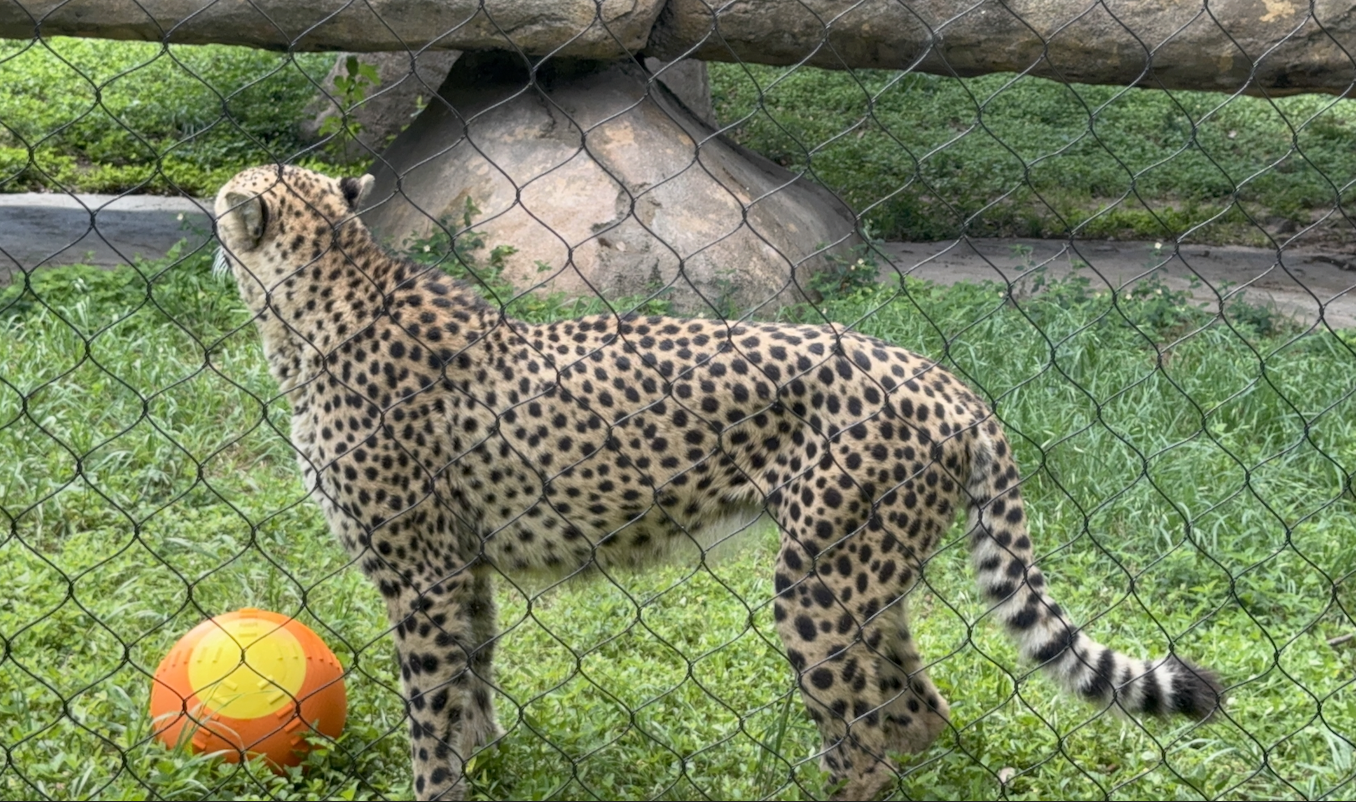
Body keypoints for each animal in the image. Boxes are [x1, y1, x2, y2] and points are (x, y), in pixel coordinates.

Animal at [212, 164, 1222, 801]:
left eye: (228, 203)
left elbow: (430, 709)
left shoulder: (419, 577)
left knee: (864, 746)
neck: (330, 293)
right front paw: (485, 761)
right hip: (868, 581)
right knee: (916, 716)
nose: (212, 221)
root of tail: (947, 379)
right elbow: (474, 681)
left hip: (816, 591)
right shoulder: (463, 568)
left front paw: (435, 784)